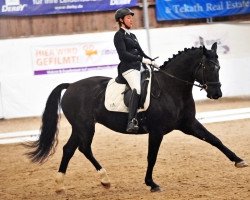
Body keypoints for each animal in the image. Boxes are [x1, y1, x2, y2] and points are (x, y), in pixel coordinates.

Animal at [24, 42, 247, 194]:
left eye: (219, 67)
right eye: (207, 67)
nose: (216, 94)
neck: (171, 88)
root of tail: (70, 86)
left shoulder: (189, 124)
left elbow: (215, 140)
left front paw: (239, 161)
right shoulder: (157, 131)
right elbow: (152, 157)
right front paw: (152, 184)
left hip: (80, 127)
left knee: (70, 149)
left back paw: (62, 185)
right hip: (85, 126)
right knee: (83, 148)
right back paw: (104, 179)